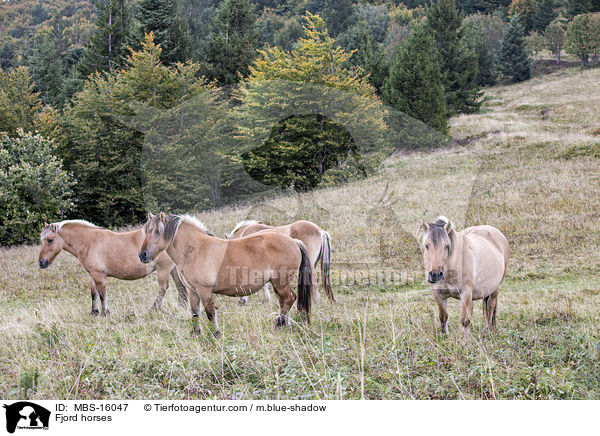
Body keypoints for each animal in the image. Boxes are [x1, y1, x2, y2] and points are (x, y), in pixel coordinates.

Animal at [38, 220, 188, 316]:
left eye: (50, 240)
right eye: (41, 240)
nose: (41, 263)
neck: (89, 242)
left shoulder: (99, 275)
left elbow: (102, 293)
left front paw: (105, 312)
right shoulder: (91, 275)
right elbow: (94, 293)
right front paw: (94, 312)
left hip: (163, 268)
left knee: (163, 288)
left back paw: (153, 309)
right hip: (173, 269)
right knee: (180, 287)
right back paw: (181, 307)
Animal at [137, 212, 314, 334]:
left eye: (157, 231)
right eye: (146, 231)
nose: (142, 255)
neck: (196, 250)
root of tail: (294, 241)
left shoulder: (204, 290)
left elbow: (210, 313)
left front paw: (215, 333)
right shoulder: (192, 291)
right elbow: (195, 313)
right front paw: (195, 334)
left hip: (280, 282)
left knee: (289, 299)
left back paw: (279, 323)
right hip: (277, 284)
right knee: (284, 302)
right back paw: (284, 324)